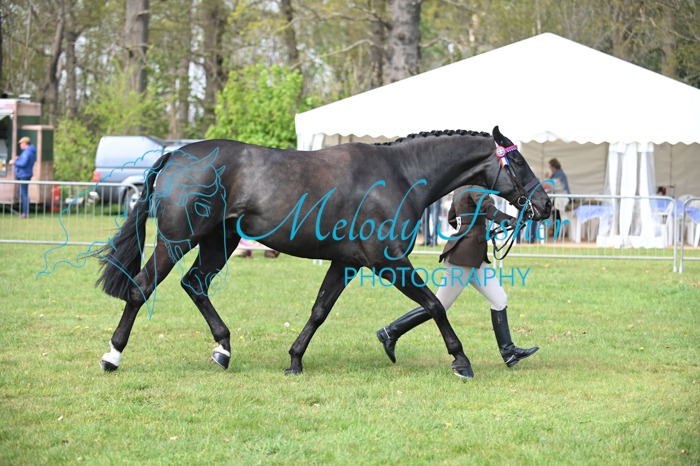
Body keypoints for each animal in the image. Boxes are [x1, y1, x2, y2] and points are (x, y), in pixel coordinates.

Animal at [96, 126, 551, 379]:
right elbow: (434, 306)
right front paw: (461, 361)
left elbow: (319, 309)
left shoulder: (346, 263)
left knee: (194, 284)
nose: (545, 205)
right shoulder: (387, 262)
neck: (399, 176)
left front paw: (294, 360)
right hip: (176, 241)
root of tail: (175, 155)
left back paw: (223, 350)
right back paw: (112, 356)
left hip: (217, 243)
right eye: (518, 163)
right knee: (141, 288)